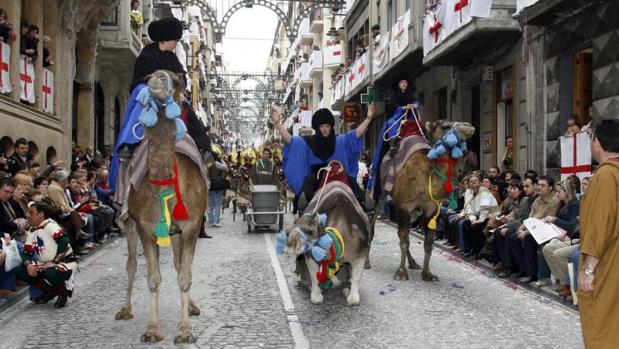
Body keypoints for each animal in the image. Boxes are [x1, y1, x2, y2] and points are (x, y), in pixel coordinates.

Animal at [112, 70, 207, 342]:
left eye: (175, 80)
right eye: (148, 76)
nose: (158, 78)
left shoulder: (191, 224)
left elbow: (185, 275)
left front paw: (185, 331)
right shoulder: (145, 227)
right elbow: (153, 278)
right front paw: (153, 329)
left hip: (175, 231)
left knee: (177, 263)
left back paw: (192, 306)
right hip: (128, 223)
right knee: (132, 263)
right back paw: (125, 309)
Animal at [370, 119, 478, 280]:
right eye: (445, 126)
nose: (469, 125)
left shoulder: (431, 209)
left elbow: (428, 243)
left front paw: (427, 273)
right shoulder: (403, 205)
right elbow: (404, 240)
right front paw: (401, 272)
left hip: (414, 212)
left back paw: (413, 263)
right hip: (379, 194)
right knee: (373, 224)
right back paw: (367, 263)